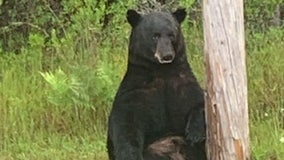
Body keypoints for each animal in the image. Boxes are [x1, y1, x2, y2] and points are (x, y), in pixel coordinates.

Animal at [107, 8, 206, 159]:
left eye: (172, 35)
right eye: (155, 36)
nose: (167, 55)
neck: (162, 72)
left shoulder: (183, 83)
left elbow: (199, 101)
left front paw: (195, 133)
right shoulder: (136, 92)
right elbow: (126, 125)